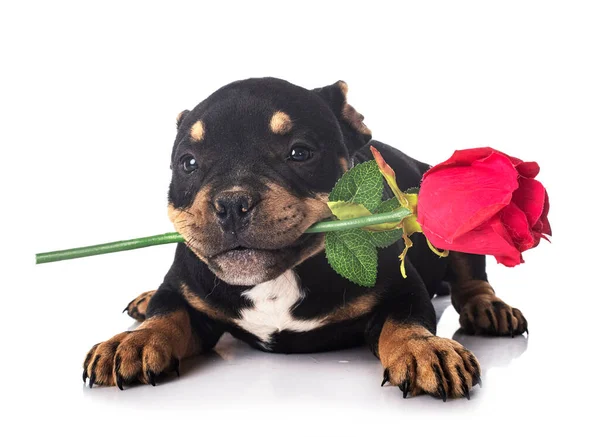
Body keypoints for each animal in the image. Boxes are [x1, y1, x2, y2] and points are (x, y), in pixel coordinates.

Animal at [83, 77, 524, 398]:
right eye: (187, 163)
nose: (231, 203)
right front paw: (134, 340)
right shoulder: (185, 289)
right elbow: (167, 310)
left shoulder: (402, 291)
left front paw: (423, 347)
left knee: (471, 278)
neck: (278, 279)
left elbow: (406, 318)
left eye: (300, 153)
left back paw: (489, 308)